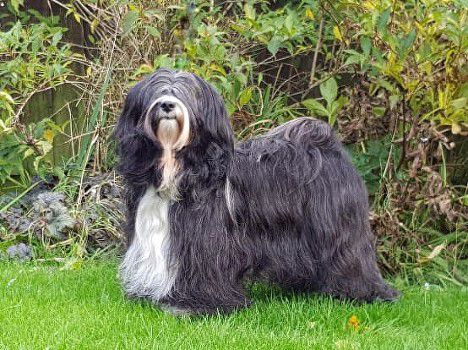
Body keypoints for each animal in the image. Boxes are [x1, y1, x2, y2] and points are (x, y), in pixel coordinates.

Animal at [113, 68, 398, 314]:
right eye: (158, 91)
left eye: (187, 94)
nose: (167, 105)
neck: (179, 168)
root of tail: (326, 146)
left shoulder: (206, 243)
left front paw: (198, 304)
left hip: (338, 229)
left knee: (351, 257)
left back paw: (362, 292)